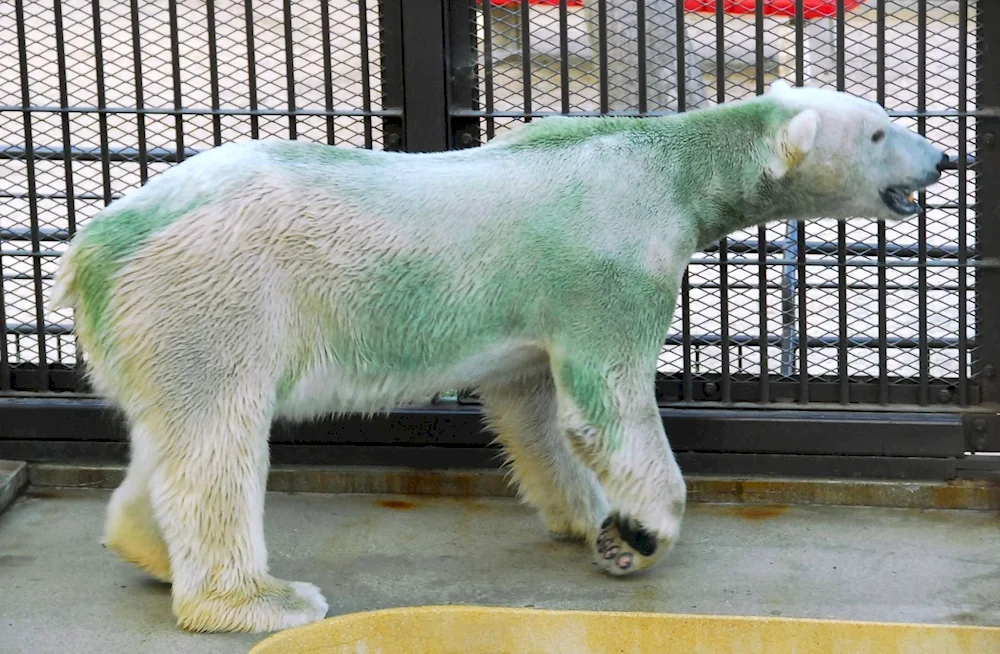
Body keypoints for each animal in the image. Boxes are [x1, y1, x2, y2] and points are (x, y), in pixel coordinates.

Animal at [50, 79, 948, 632]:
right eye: (879, 129)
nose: (941, 157)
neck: (665, 160)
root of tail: (90, 250)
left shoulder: (536, 315)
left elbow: (534, 409)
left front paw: (590, 520)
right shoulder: (614, 266)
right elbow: (608, 401)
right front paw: (638, 533)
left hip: (163, 322)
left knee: (174, 439)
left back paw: (147, 548)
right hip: (218, 295)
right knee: (220, 439)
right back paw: (262, 600)